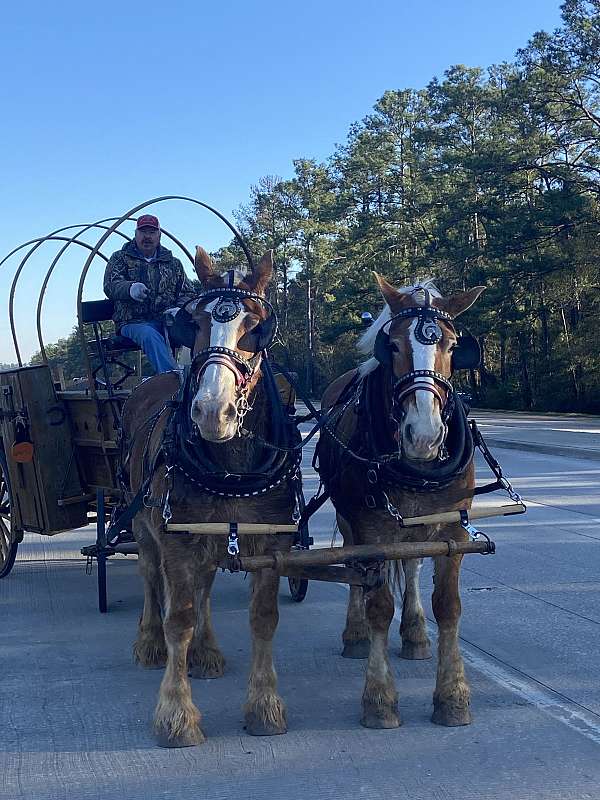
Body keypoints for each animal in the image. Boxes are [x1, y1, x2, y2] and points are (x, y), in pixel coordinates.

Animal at [121, 247, 300, 748]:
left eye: (256, 326)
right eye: (194, 323)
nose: (211, 412)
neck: (231, 466)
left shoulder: (272, 542)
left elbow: (263, 617)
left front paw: (264, 706)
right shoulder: (177, 539)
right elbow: (177, 620)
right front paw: (176, 714)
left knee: (203, 586)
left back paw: (207, 651)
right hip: (144, 525)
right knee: (149, 576)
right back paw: (149, 640)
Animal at [316, 276, 486, 732]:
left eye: (452, 345)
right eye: (390, 345)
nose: (423, 435)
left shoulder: (452, 531)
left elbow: (449, 607)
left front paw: (453, 697)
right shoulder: (373, 531)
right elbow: (378, 605)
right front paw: (379, 699)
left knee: (410, 566)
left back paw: (414, 632)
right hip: (351, 520)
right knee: (355, 570)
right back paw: (355, 635)